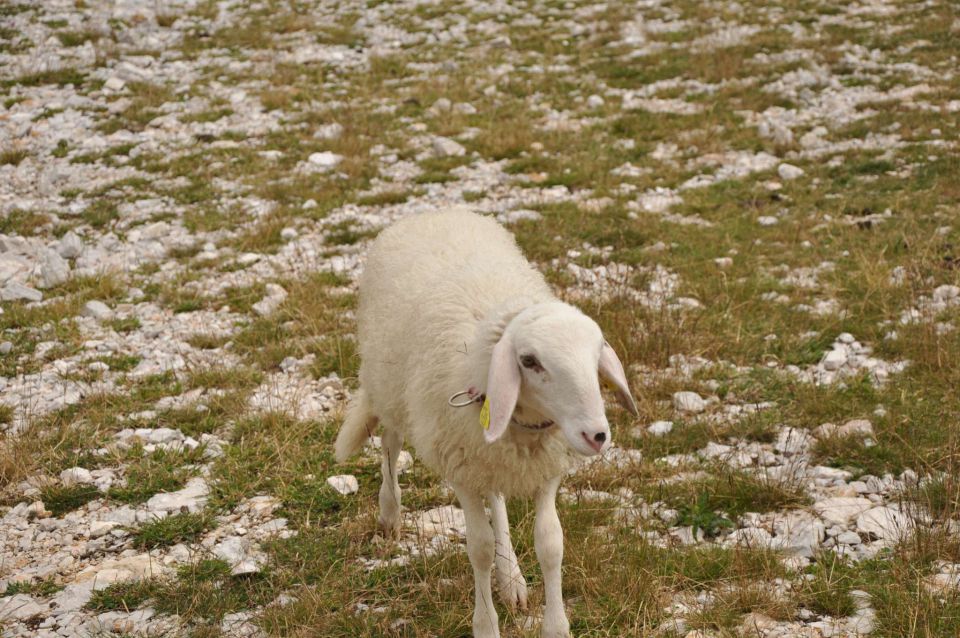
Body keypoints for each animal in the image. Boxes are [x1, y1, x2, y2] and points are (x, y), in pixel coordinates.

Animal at [338, 211, 636, 638]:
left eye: (597, 353)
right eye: (529, 361)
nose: (596, 435)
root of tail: (435, 209)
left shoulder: (543, 468)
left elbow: (551, 544)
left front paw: (554, 623)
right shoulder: (461, 469)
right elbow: (477, 548)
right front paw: (486, 624)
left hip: (485, 450)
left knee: (495, 495)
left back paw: (511, 577)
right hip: (391, 390)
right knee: (391, 445)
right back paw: (390, 513)